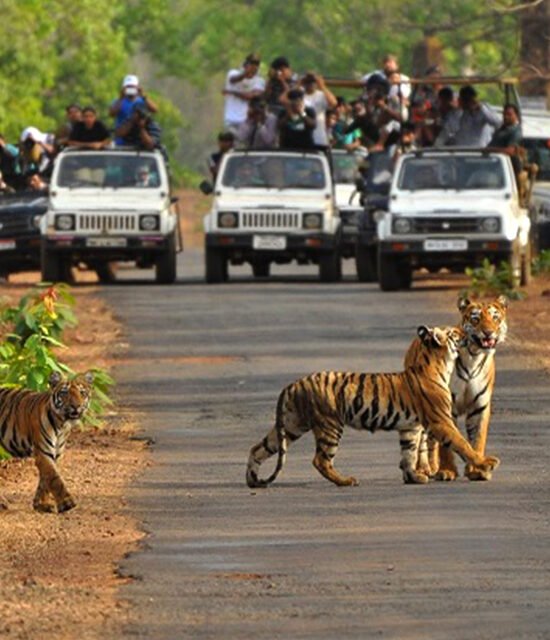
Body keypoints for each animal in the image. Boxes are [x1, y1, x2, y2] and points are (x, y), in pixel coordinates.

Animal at [0, 372, 94, 512]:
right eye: (64, 393)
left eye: (82, 393)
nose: (76, 406)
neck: (62, 424)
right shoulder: (43, 452)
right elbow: (54, 478)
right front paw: (67, 503)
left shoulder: (55, 454)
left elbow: (45, 480)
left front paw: (41, 504)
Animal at [246, 324, 500, 490]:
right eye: (455, 333)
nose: (467, 333)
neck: (439, 364)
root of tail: (293, 384)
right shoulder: (441, 421)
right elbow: (463, 444)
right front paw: (486, 463)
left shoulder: (410, 427)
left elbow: (408, 453)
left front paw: (413, 477)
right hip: (330, 425)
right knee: (320, 460)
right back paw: (346, 481)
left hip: (292, 425)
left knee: (258, 448)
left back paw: (252, 480)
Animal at [404, 296, 512, 480]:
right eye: (476, 319)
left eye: (495, 318)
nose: (488, 332)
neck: (474, 357)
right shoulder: (446, 407)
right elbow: (447, 445)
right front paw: (447, 471)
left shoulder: (480, 407)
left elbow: (477, 439)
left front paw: (477, 470)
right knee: (423, 440)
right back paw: (424, 468)